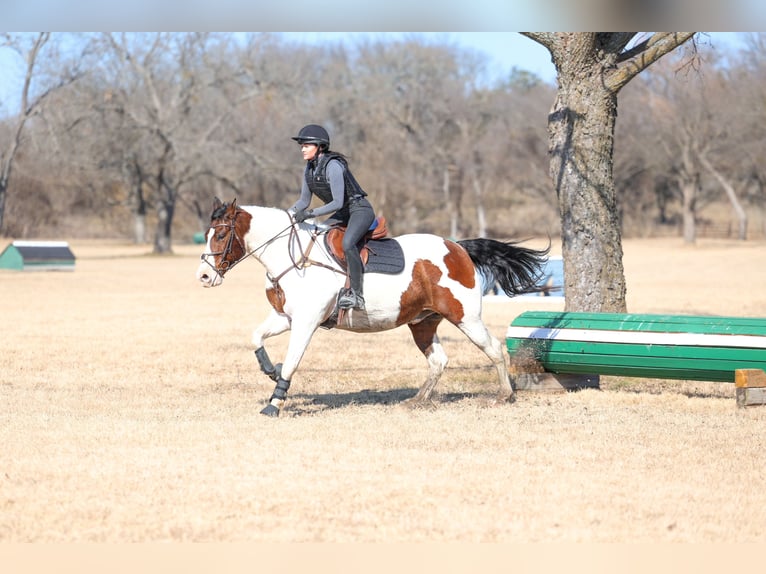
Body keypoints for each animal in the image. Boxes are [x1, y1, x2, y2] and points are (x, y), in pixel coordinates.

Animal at [196, 197, 549, 417]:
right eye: (207, 233)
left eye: (222, 235)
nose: (204, 276)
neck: (291, 256)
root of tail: (457, 247)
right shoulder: (285, 317)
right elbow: (256, 338)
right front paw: (270, 370)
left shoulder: (307, 321)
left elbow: (293, 362)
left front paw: (275, 403)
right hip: (423, 321)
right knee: (439, 361)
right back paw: (415, 401)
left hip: (466, 317)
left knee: (494, 350)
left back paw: (504, 395)